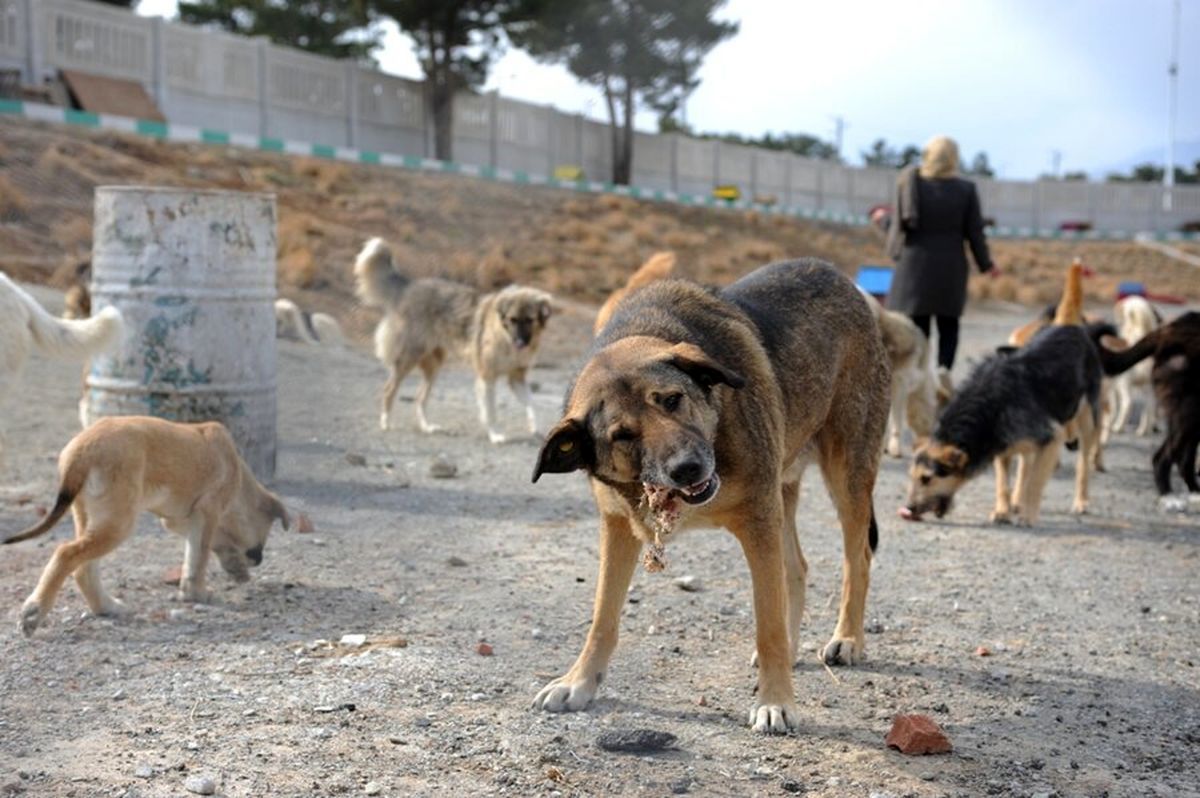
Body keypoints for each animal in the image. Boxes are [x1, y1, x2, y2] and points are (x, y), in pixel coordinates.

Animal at [4, 417, 290, 633]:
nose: (258, 560)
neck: (238, 475)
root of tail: (82, 450)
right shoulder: (207, 513)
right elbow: (198, 559)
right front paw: (198, 593)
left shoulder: (177, 520)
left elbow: (200, 551)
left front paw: (232, 568)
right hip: (117, 523)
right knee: (66, 554)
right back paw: (34, 611)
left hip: (91, 518)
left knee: (84, 569)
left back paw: (107, 607)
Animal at [352, 236, 554, 448]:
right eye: (513, 320)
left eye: (530, 320)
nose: (520, 341)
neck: (504, 337)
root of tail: (409, 286)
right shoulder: (487, 377)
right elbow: (491, 411)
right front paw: (495, 435)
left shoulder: (517, 378)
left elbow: (532, 405)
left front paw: (536, 430)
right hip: (409, 357)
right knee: (389, 389)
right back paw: (386, 423)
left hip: (434, 365)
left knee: (419, 398)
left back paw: (427, 427)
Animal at [530, 260, 888, 734]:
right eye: (622, 435)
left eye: (672, 399)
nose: (688, 468)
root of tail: (838, 275)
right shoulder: (619, 526)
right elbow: (602, 618)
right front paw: (579, 681)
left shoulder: (757, 520)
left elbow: (767, 624)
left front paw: (775, 701)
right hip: (782, 491)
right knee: (796, 566)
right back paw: (798, 645)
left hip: (846, 474)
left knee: (857, 558)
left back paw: (846, 638)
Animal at [1104, 295, 1161, 436]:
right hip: (1148, 387)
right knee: (1149, 407)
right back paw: (1143, 430)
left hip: (1123, 383)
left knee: (1127, 404)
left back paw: (1118, 427)